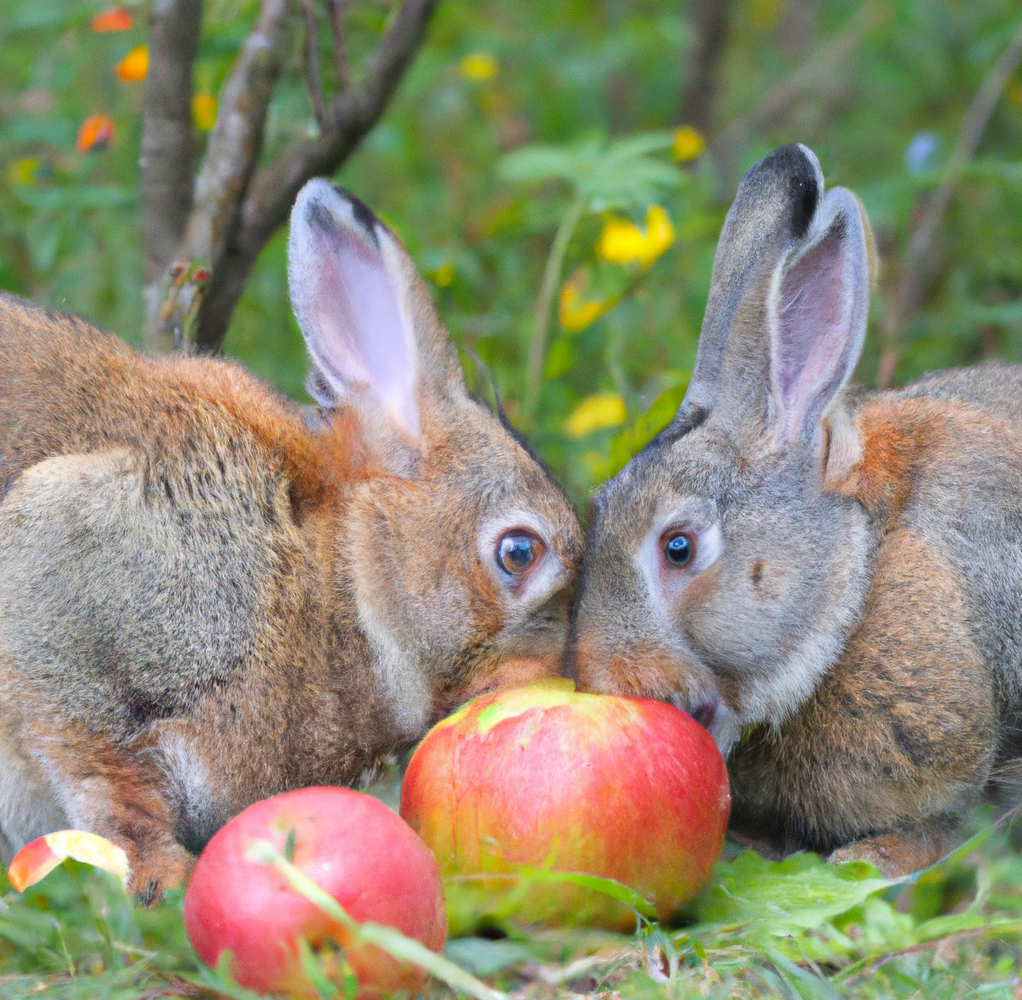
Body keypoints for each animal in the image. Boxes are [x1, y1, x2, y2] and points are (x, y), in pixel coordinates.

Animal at [0, 176, 584, 895]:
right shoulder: (66, 572)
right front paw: (160, 878)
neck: (335, 576)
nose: (554, 681)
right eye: (519, 552)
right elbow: (99, 771)